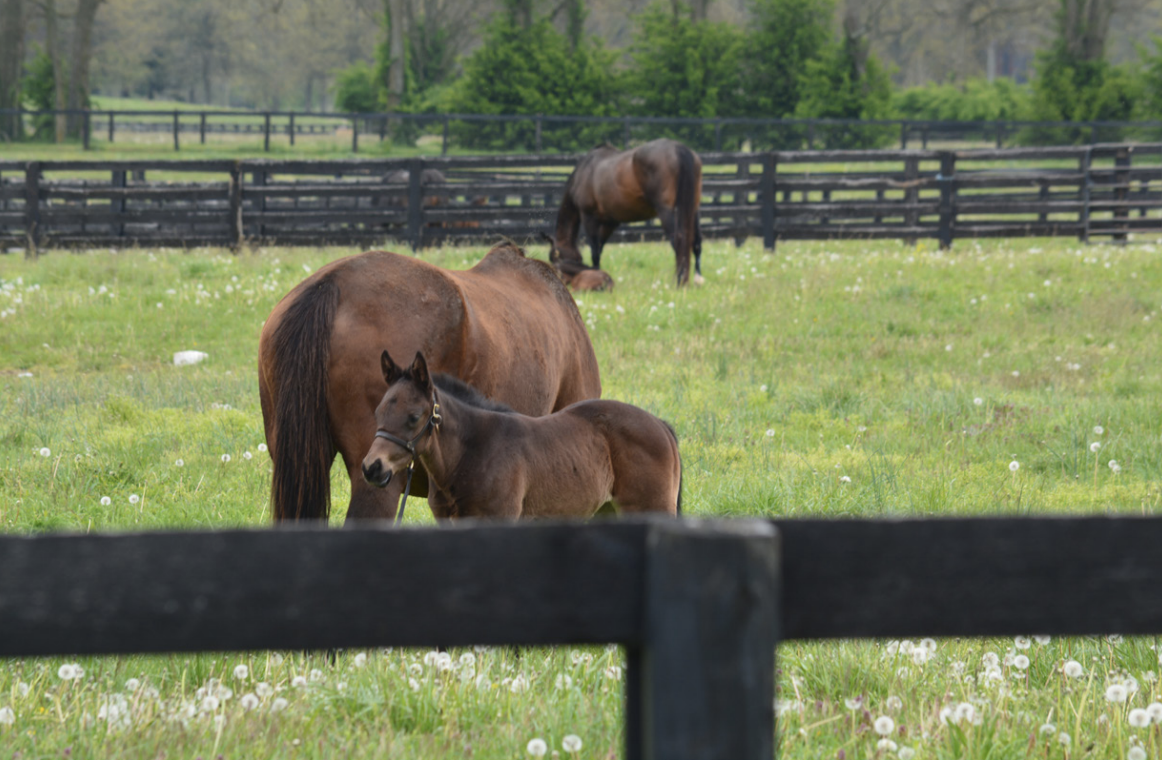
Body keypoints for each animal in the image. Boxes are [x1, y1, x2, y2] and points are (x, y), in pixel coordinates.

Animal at [362, 353, 678, 520]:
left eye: (414, 416)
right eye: (378, 412)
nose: (371, 467)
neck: (470, 453)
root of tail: (661, 425)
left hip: (651, 509)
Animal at [553, 138, 706, 287]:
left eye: (553, 259)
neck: (584, 172)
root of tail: (679, 149)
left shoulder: (589, 217)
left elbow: (595, 251)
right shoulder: (609, 222)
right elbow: (600, 248)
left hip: (666, 211)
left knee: (678, 240)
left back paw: (679, 280)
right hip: (693, 210)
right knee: (696, 242)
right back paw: (697, 279)